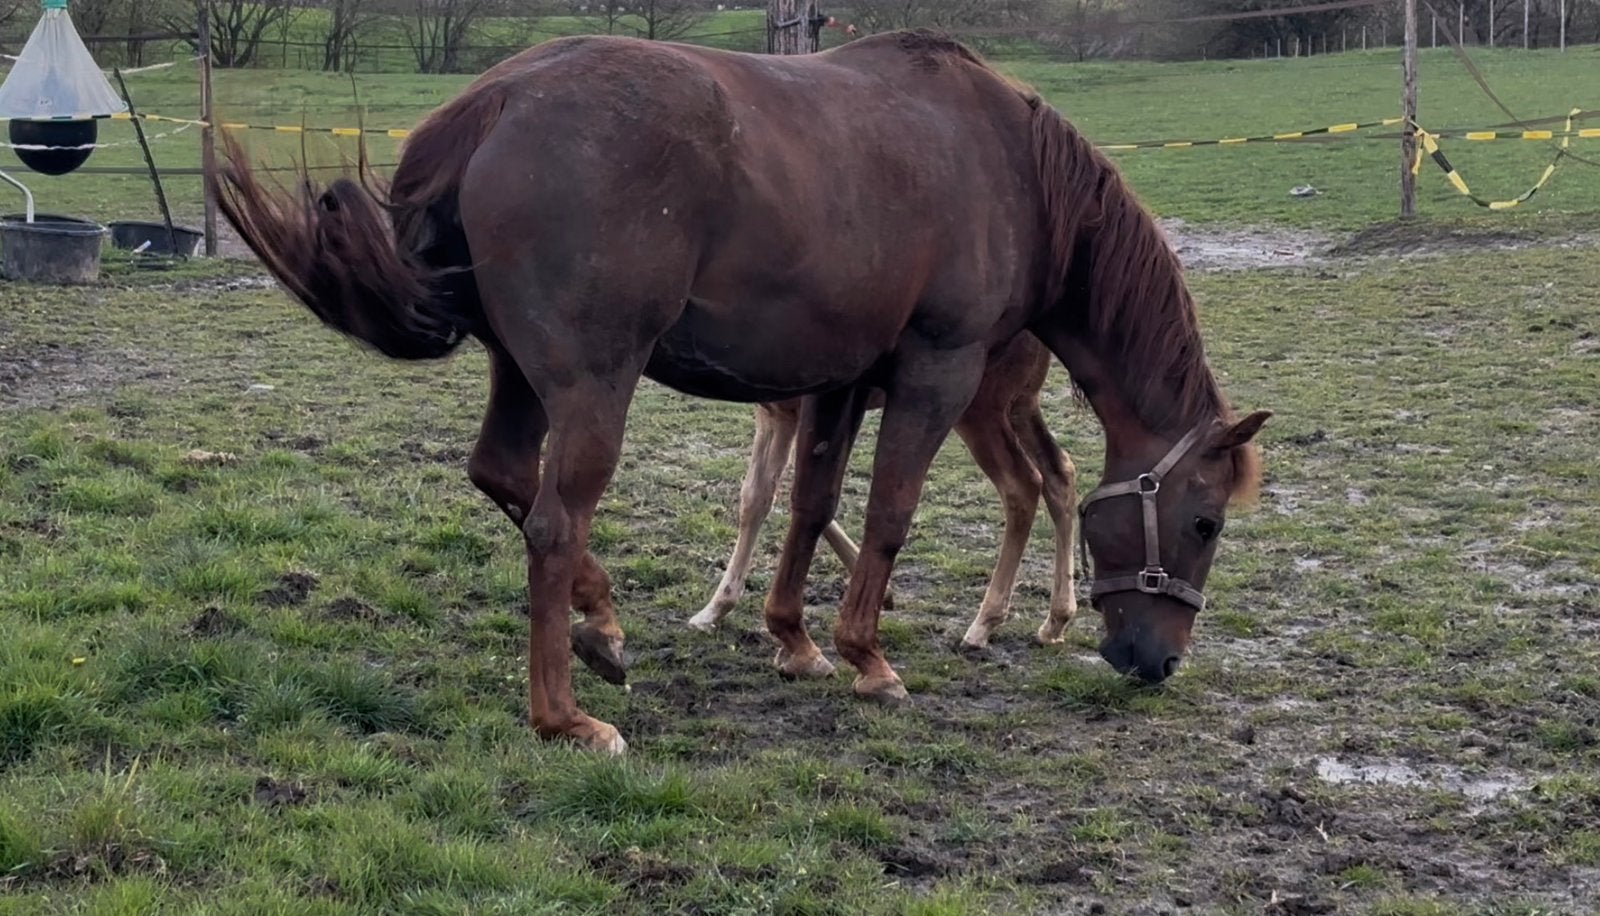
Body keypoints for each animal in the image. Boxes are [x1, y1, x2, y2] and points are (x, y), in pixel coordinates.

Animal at [687, 332, 1082, 652]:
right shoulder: (777, 414)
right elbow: (758, 496)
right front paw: (715, 609)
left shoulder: (802, 414)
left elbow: (797, 495)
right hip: (1021, 403)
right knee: (1060, 472)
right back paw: (1055, 620)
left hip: (981, 409)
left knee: (1023, 484)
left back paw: (983, 624)